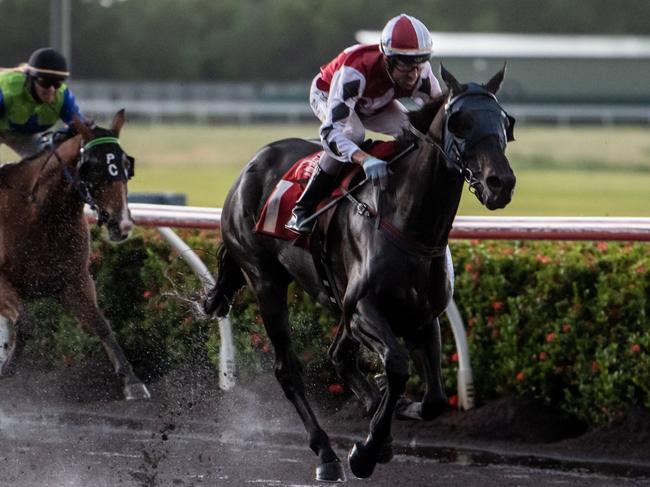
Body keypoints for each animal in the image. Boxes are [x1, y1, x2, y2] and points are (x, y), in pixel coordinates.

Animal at [0, 112, 148, 402]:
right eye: (95, 168)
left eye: (126, 165)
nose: (122, 224)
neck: (38, 216)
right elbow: (26, 323)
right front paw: (7, 368)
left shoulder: (74, 281)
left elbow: (101, 324)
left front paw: (133, 382)